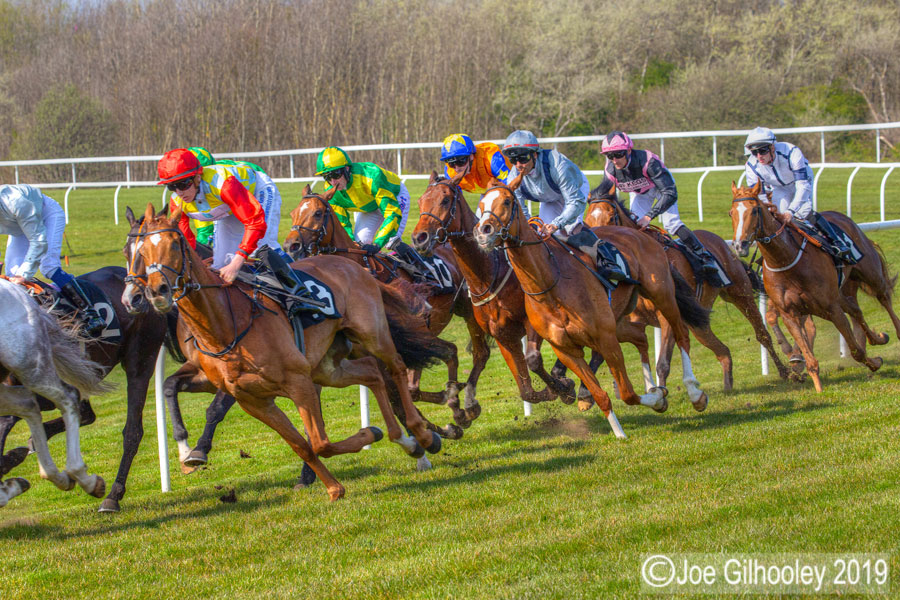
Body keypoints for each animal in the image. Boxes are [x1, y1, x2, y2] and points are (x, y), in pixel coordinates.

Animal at [130, 203, 443, 500]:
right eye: (141, 251)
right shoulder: (253, 400)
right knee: (372, 373)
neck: (226, 326)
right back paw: (405, 441)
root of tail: (352, 264)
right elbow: (302, 445)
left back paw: (421, 435)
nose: (156, 291)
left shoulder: (298, 381)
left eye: (174, 244)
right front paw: (334, 488)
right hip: (327, 366)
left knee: (396, 367)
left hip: (372, 334)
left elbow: (320, 442)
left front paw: (369, 434)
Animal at [282, 184, 489, 429]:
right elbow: (404, 392)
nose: (291, 246)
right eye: (293, 213)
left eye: (317, 213)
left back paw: (468, 405)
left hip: (467, 310)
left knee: (480, 353)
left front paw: (454, 408)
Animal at [473, 174, 711, 437]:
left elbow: (627, 393)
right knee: (641, 338)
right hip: (622, 315)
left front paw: (657, 399)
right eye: (481, 205)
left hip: (662, 295)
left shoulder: (605, 338)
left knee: (682, 334)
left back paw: (695, 392)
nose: (483, 231)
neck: (550, 283)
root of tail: (639, 233)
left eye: (507, 201)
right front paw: (620, 431)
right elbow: (600, 394)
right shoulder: (566, 350)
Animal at [585, 190, 791, 388]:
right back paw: (727, 385)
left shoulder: (667, 316)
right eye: (587, 220)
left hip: (741, 295)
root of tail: (722, 243)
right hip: (698, 320)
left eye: (611, 217)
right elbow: (601, 356)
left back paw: (787, 372)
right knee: (722, 349)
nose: (596, 251)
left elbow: (662, 363)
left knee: (762, 334)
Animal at [730, 181, 899, 391]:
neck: (785, 259)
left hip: (870, 273)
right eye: (731, 213)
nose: (740, 245)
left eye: (754, 210)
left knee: (884, 296)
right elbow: (810, 356)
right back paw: (878, 337)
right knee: (856, 310)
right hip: (841, 291)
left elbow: (855, 350)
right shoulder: (790, 313)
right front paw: (817, 387)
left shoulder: (831, 308)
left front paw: (874, 362)